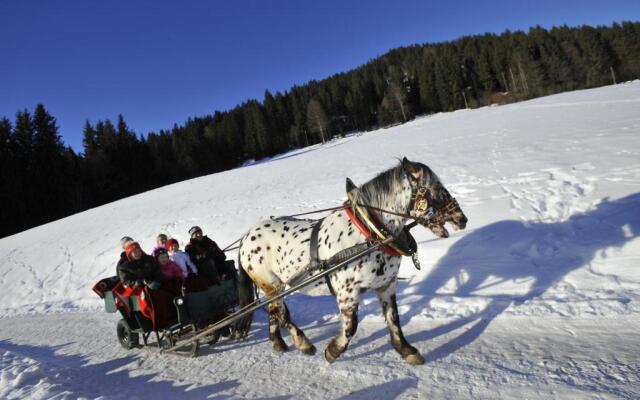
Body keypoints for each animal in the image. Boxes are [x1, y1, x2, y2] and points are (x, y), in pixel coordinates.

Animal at [232, 158, 468, 364]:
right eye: (437, 188)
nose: (462, 219)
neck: (368, 232)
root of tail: (245, 238)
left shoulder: (386, 285)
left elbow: (393, 319)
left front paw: (406, 350)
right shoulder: (347, 293)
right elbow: (350, 327)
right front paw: (332, 351)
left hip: (275, 288)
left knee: (274, 312)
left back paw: (279, 343)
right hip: (271, 285)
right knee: (280, 313)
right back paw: (303, 343)